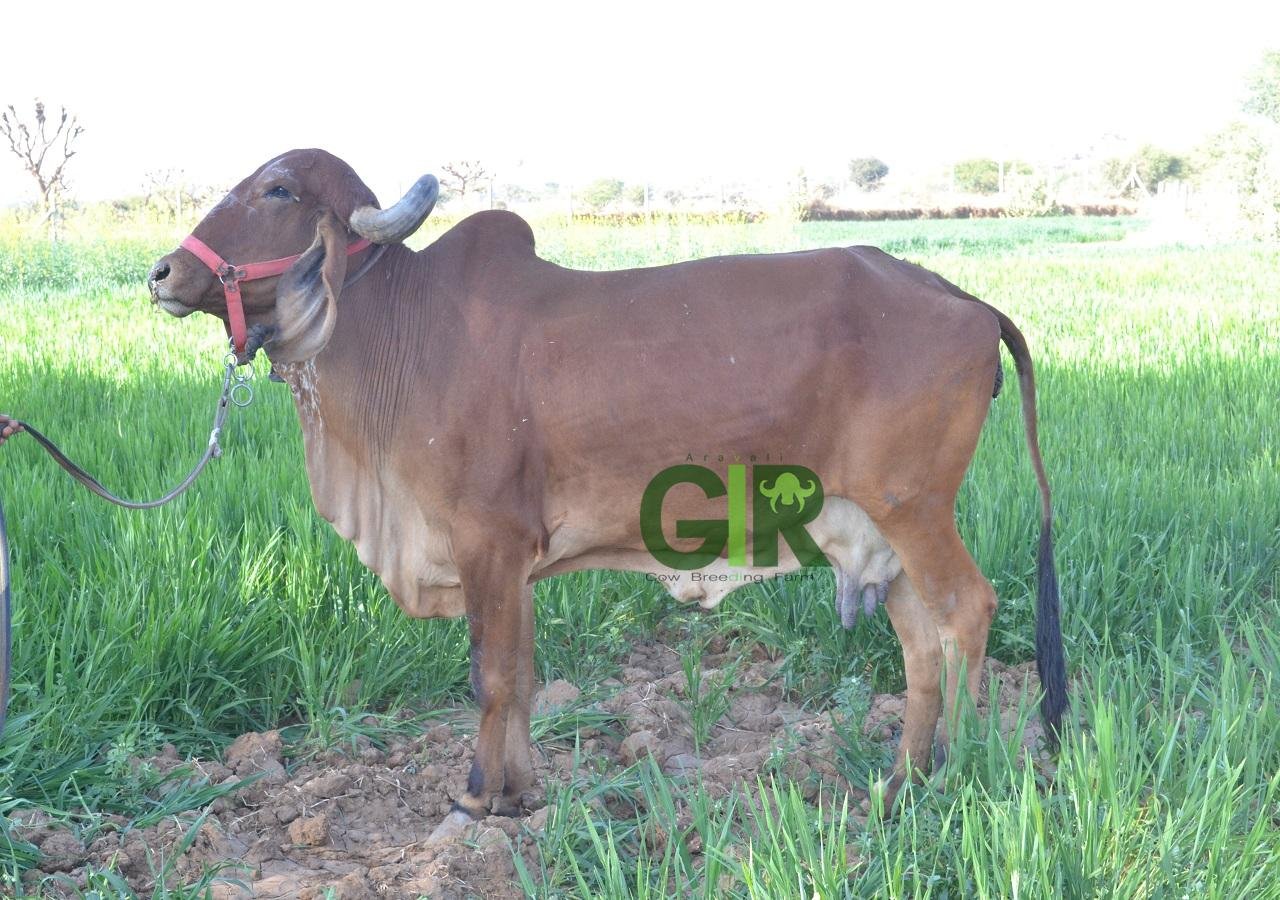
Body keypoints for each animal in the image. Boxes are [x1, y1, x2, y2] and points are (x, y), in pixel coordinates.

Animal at [147, 149, 1065, 841]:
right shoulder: (515, 563)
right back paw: (900, 784)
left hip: (916, 509)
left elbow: (489, 675)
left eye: (278, 189)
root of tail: (961, 297)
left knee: (966, 614)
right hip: (881, 528)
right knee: (920, 645)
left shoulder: (485, 542)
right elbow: (520, 671)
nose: (161, 272)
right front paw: (519, 794)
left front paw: (473, 798)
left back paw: (958, 774)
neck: (401, 330)